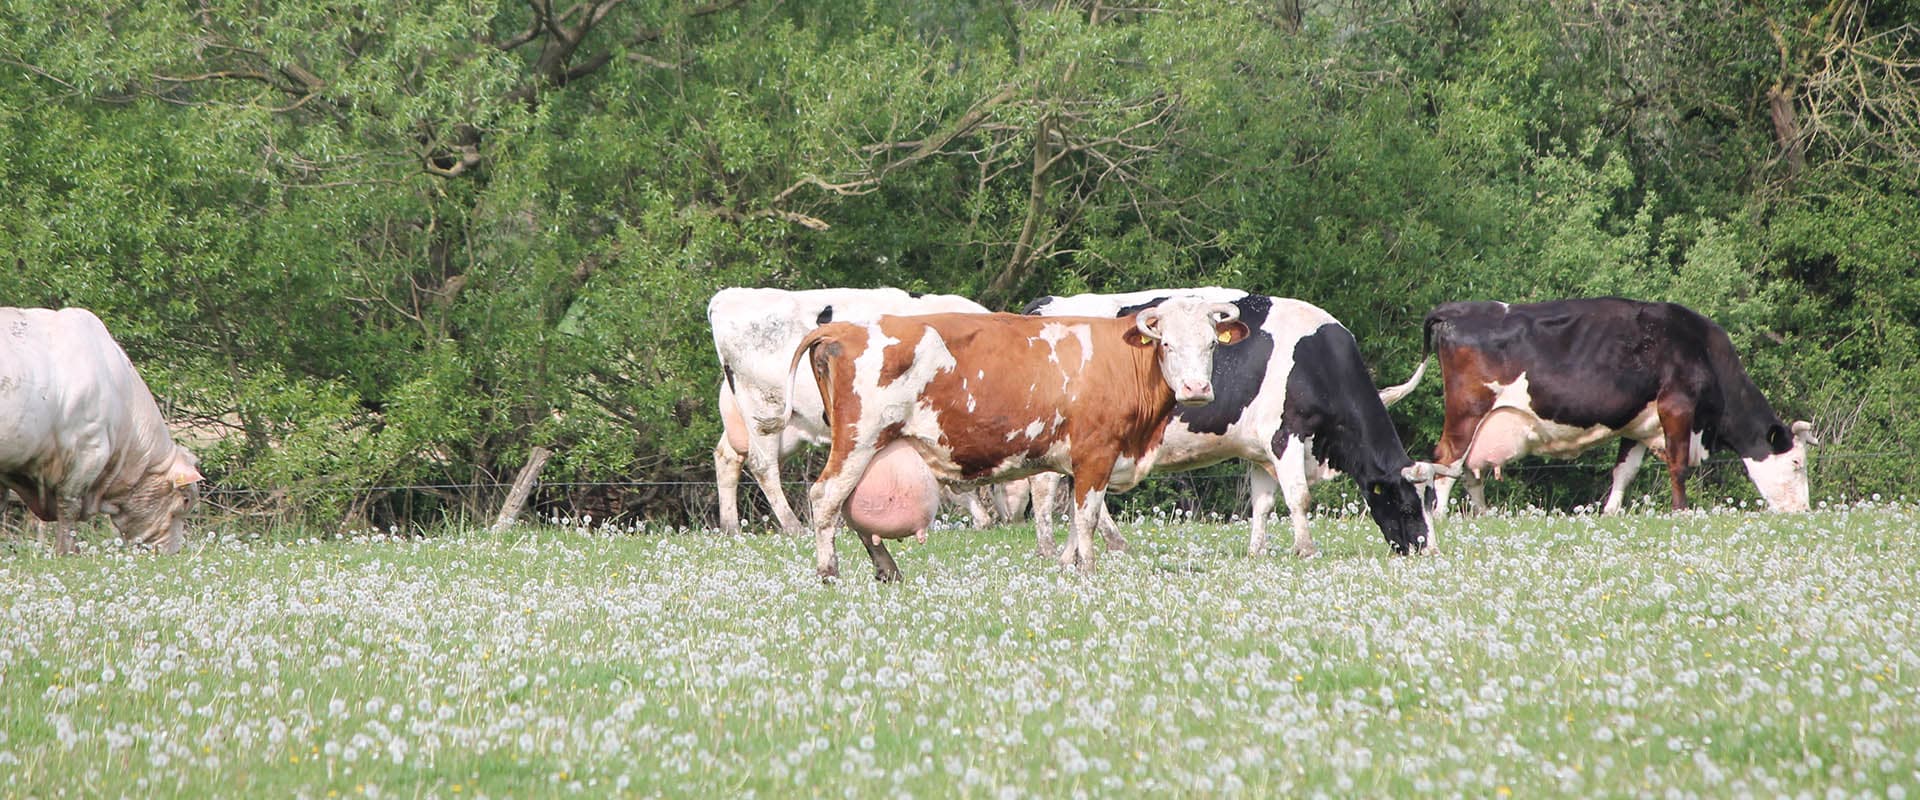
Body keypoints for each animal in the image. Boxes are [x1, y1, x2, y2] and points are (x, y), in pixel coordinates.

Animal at [709, 287, 995, 535]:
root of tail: (728, 296)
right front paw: (982, 517)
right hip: (763, 405)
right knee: (763, 465)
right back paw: (794, 527)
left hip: (773, 424)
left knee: (727, 457)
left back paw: (730, 527)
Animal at [1022, 289, 1444, 559]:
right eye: (1407, 507)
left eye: (1430, 503)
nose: (1428, 550)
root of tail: (1047, 304)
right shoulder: (1285, 433)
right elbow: (1298, 496)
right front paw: (1306, 549)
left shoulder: (1260, 449)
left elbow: (1263, 502)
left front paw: (1257, 551)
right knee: (1044, 490)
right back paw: (1050, 550)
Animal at [1419, 298, 1816, 522]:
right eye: (1797, 462)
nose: (1804, 512)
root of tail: (1457, 309)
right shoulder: (1677, 407)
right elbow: (1678, 465)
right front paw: (1681, 512)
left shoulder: (1639, 423)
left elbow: (1624, 471)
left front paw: (1610, 513)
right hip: (1467, 411)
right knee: (1446, 461)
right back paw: (1439, 515)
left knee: (1470, 470)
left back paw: (1482, 514)